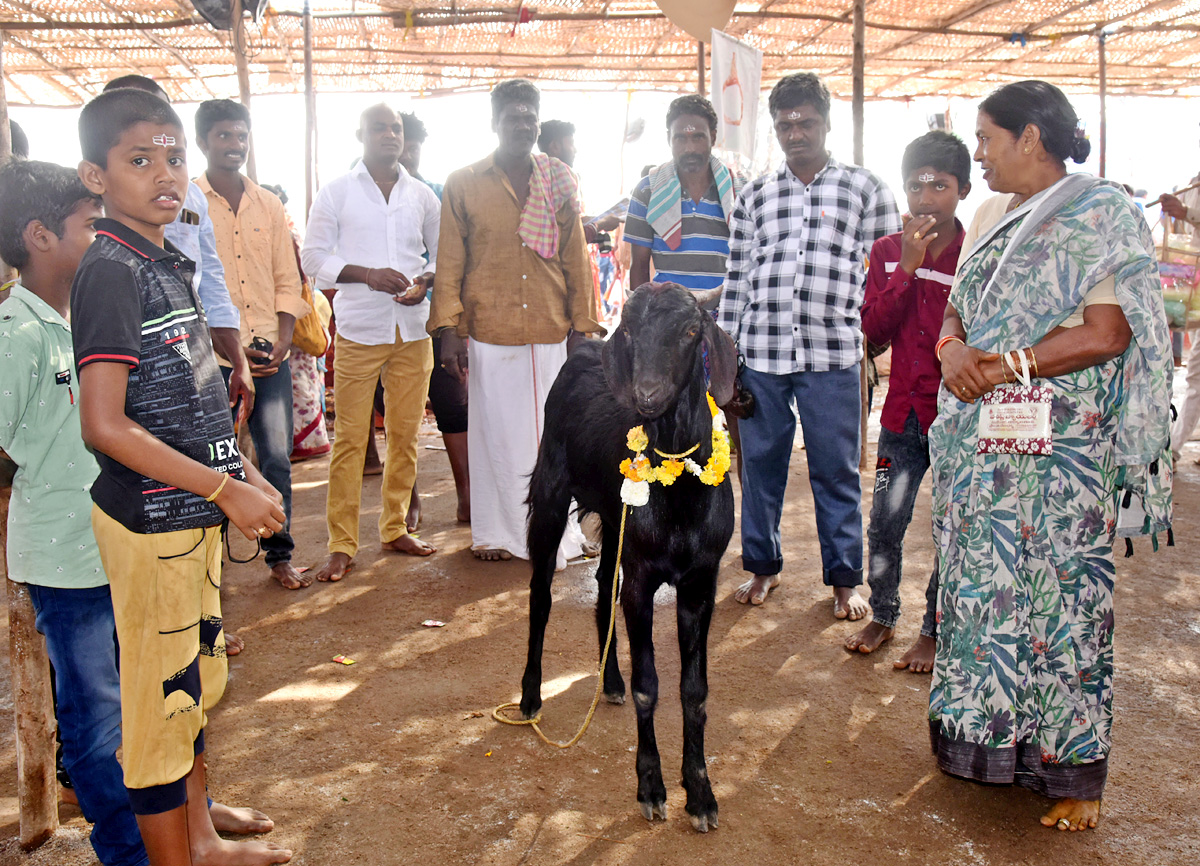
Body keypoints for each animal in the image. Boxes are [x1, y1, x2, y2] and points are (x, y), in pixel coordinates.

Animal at [520, 281, 734, 830]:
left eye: (691, 330)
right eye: (631, 329)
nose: (648, 394)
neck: (679, 494)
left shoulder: (700, 582)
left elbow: (694, 691)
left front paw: (701, 793)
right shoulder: (641, 579)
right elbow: (649, 685)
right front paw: (652, 788)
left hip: (615, 522)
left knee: (600, 584)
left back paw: (608, 680)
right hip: (551, 492)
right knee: (540, 595)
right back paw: (530, 696)